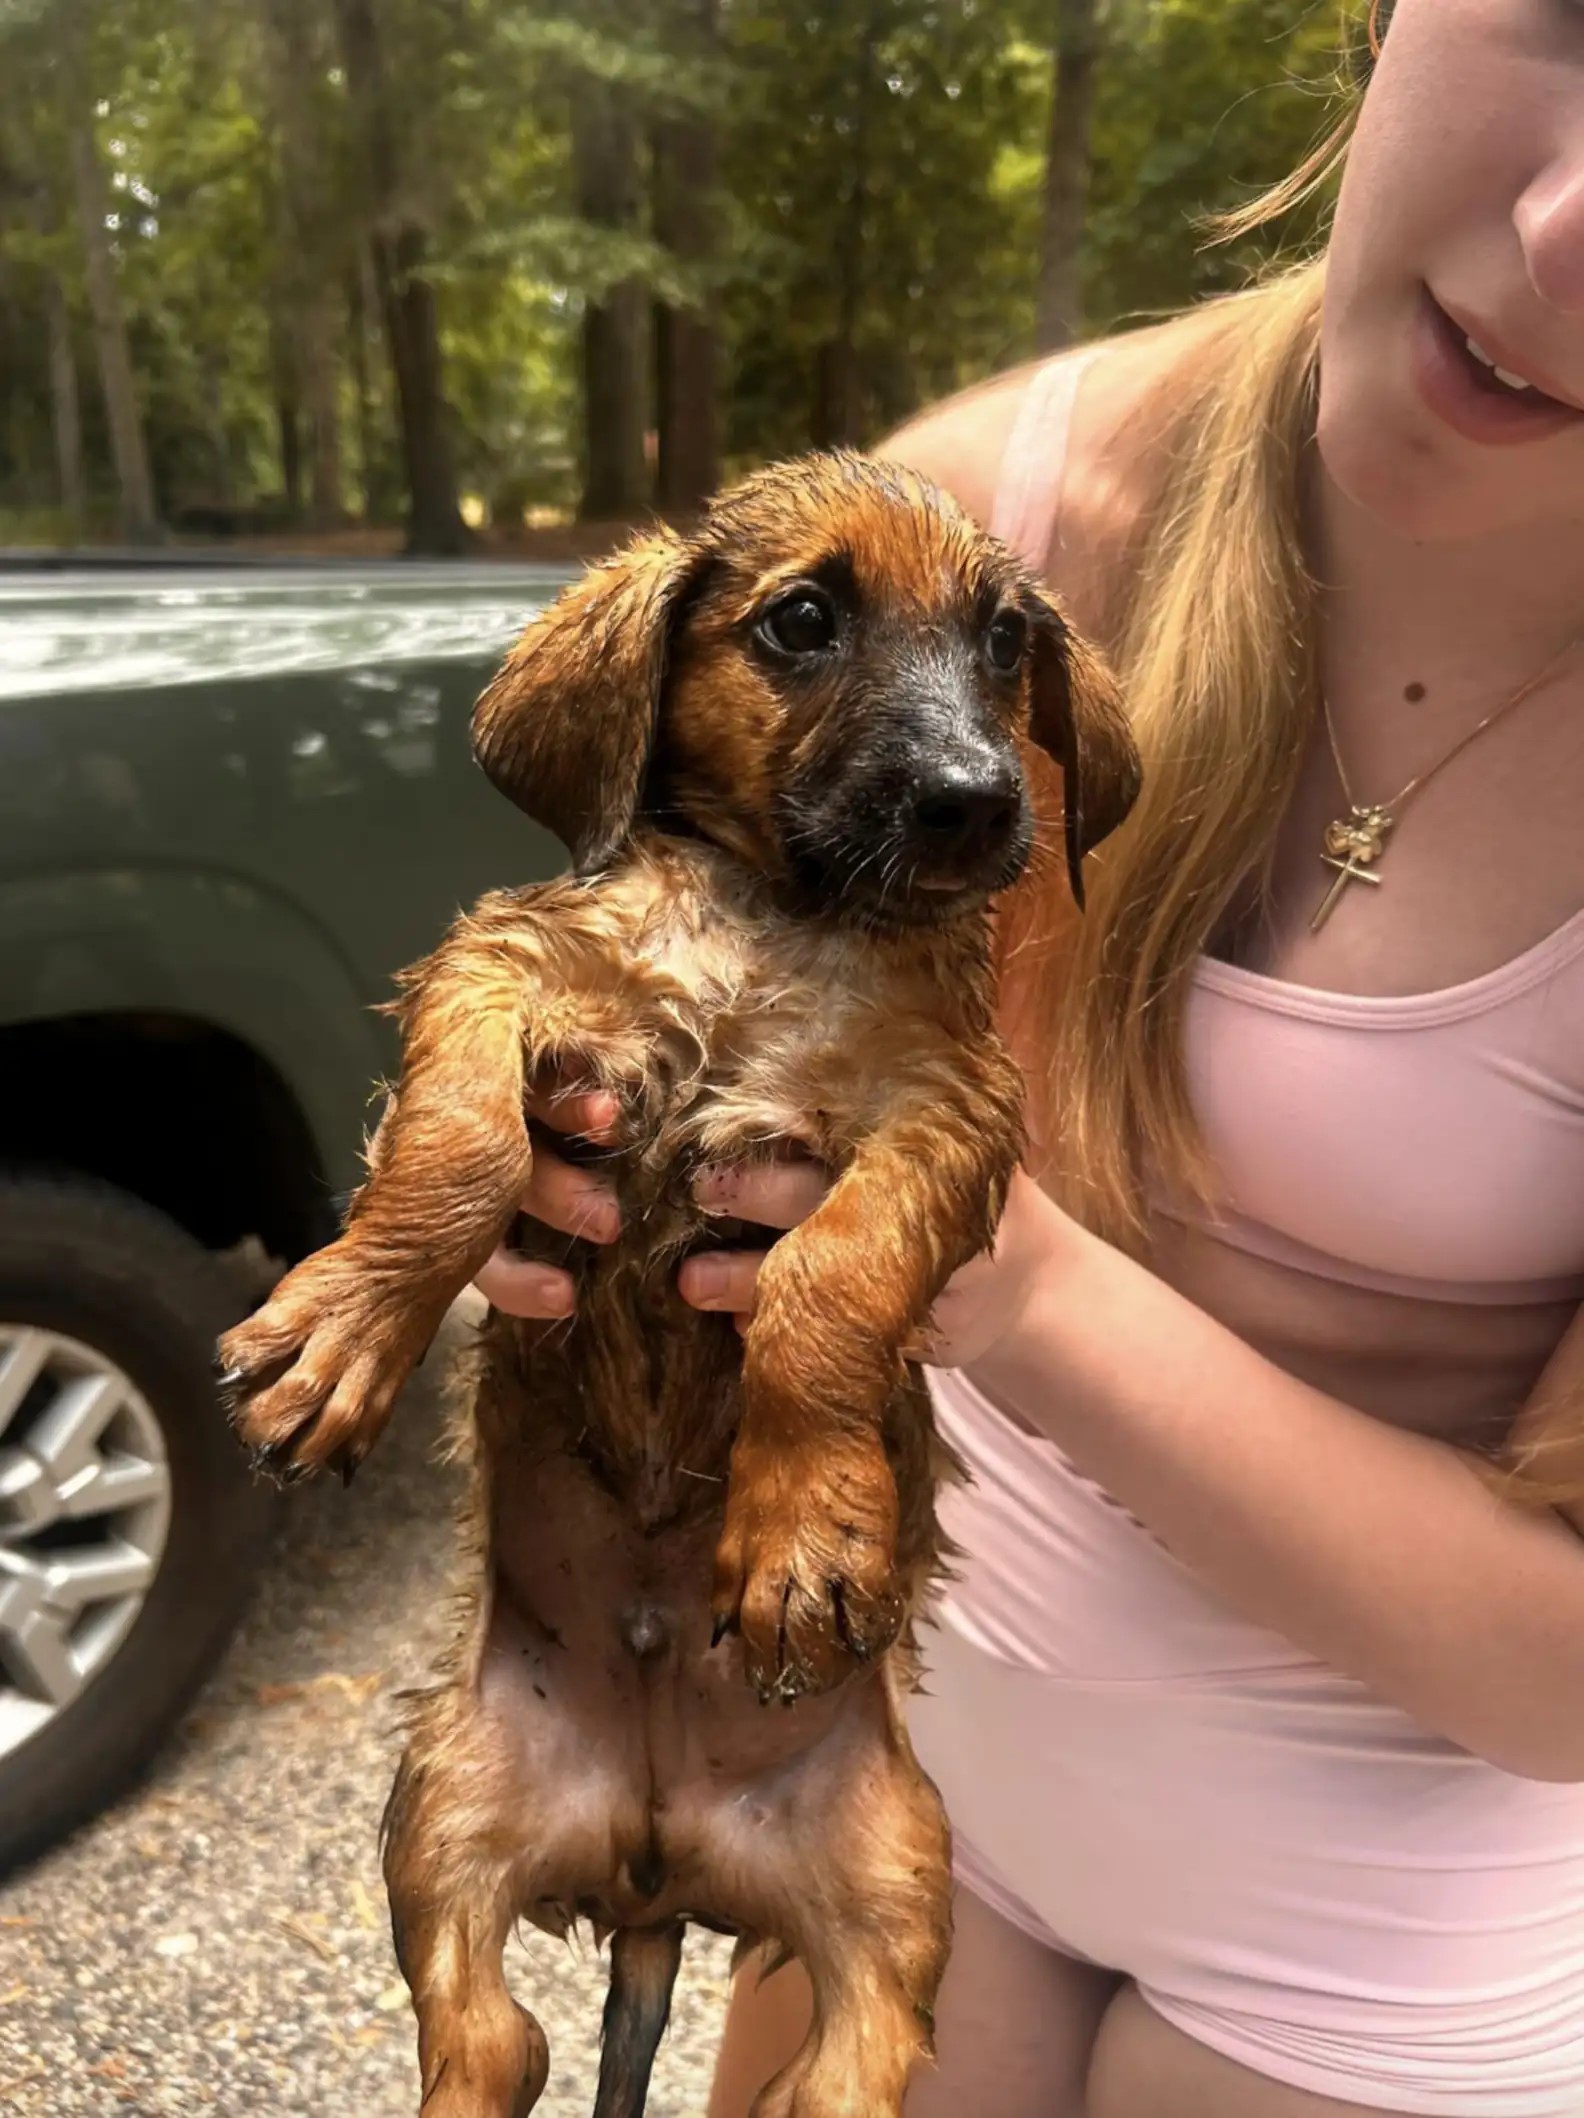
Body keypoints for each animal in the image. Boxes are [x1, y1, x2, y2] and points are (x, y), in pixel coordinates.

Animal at [219, 459, 1135, 2118]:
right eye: (803, 620)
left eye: (1004, 644)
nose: (978, 801)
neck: (772, 919)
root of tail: (657, 1859)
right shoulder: (499, 968)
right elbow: (459, 1143)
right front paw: (346, 1329)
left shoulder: (944, 1109)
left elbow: (831, 1275)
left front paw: (804, 1527)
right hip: (443, 1794)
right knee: (490, 2042)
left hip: (898, 1865)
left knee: (834, 2077)